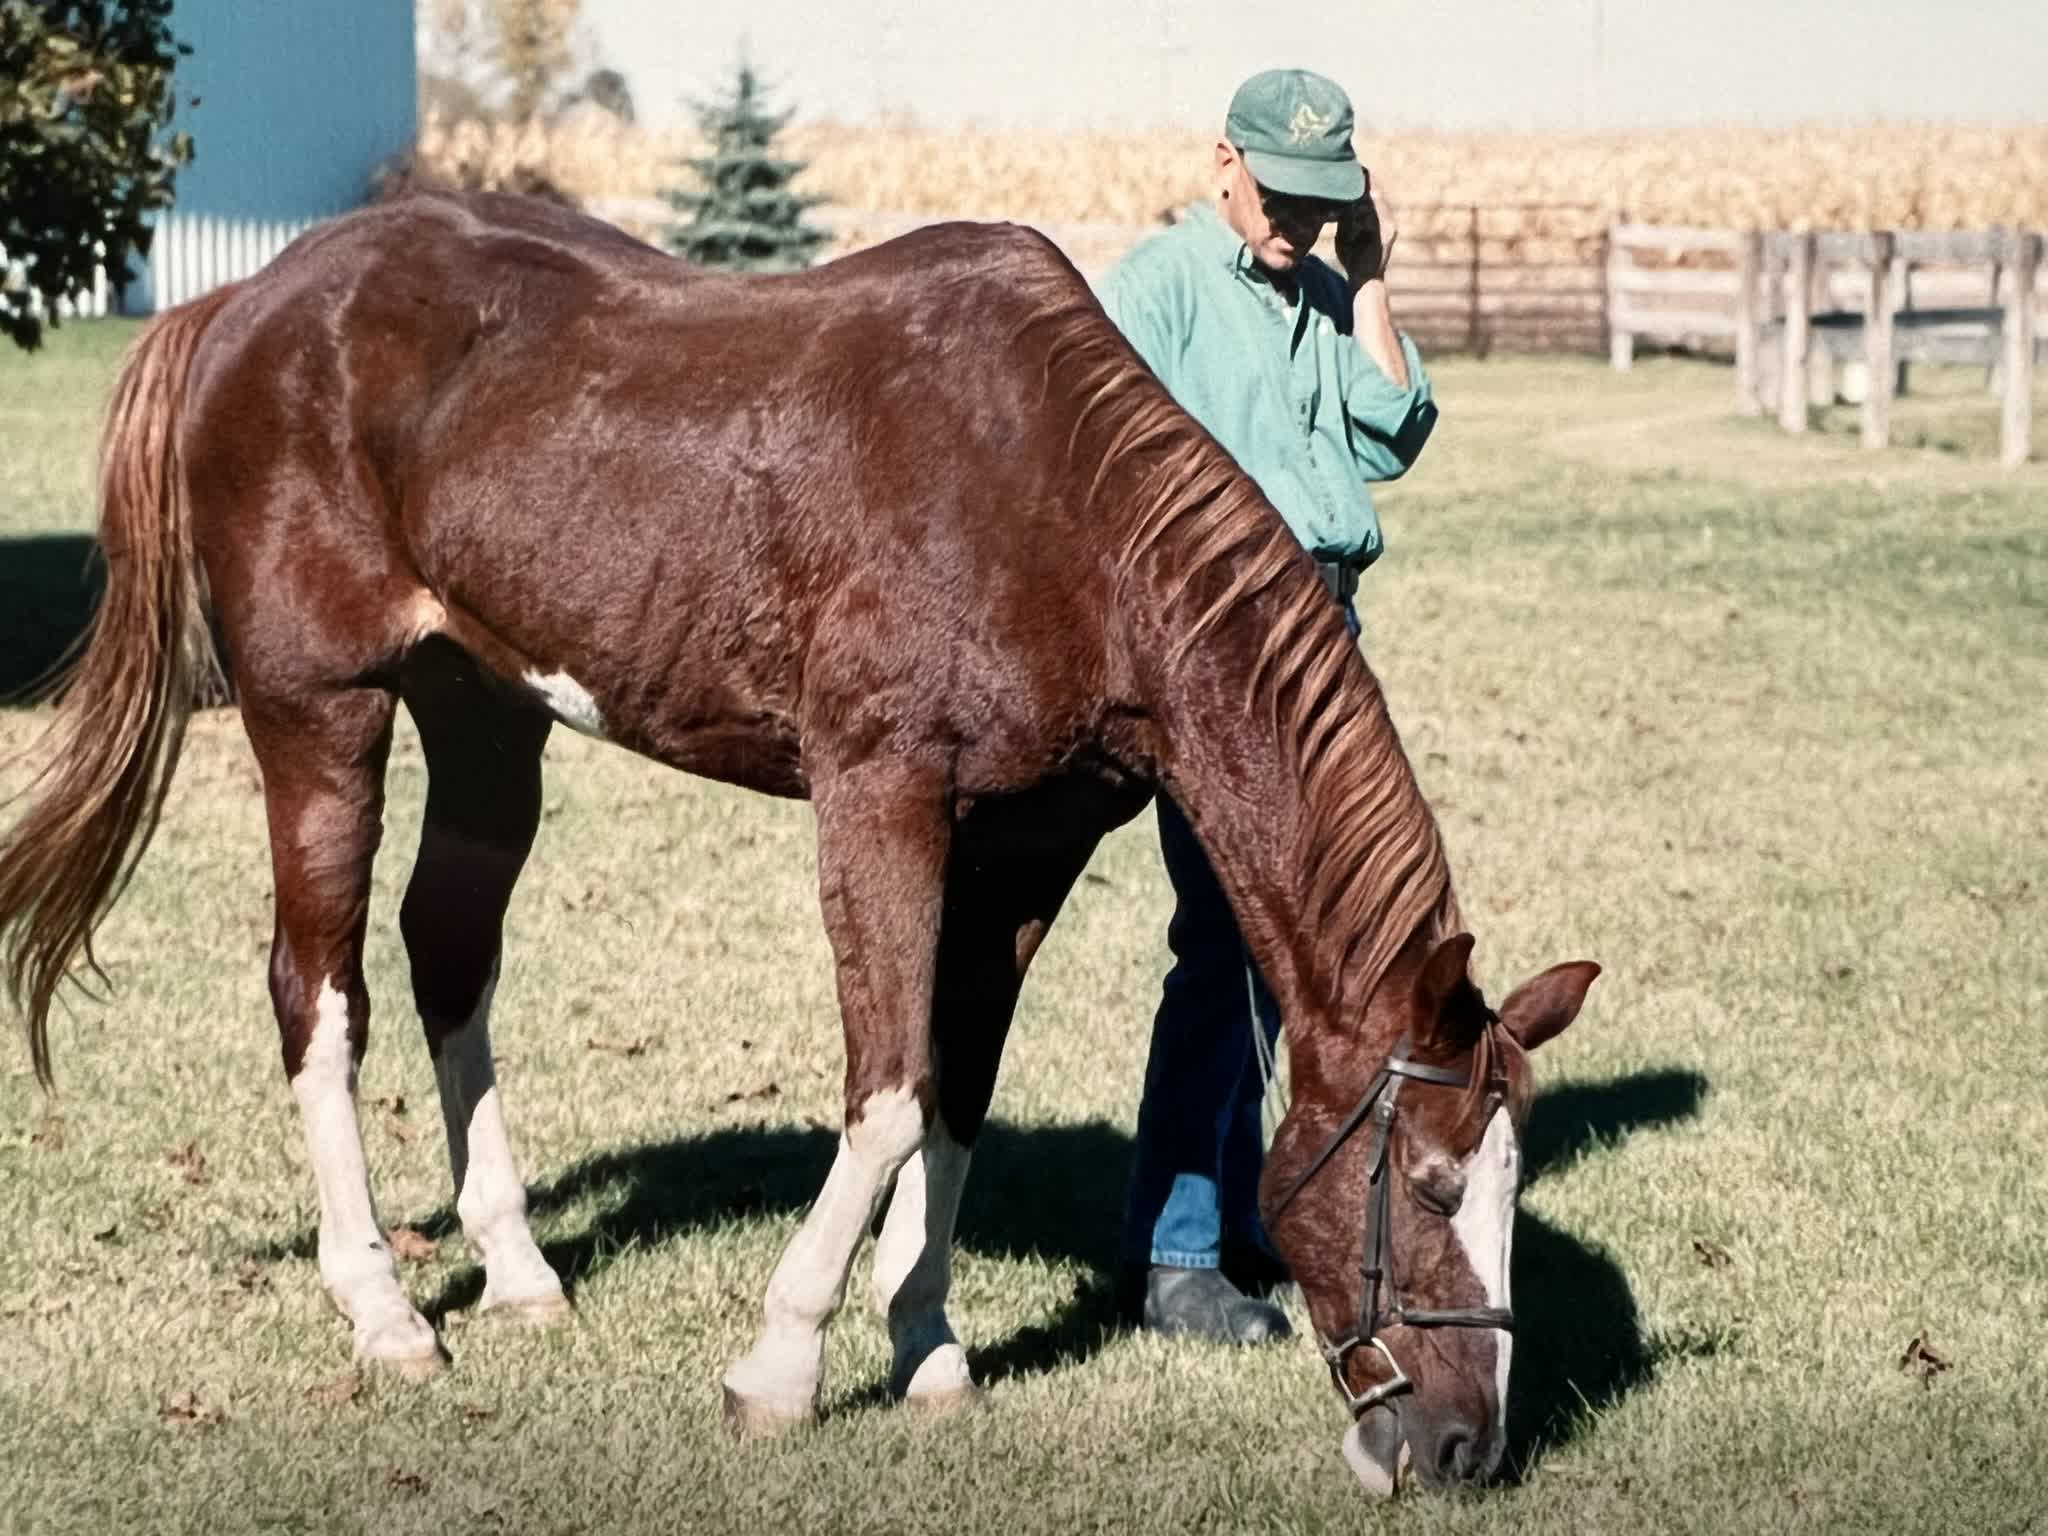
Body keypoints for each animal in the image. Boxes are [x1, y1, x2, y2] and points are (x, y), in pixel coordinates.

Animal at [0, 192, 1597, 1507]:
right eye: (1433, 1184)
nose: (1464, 1446)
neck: (1056, 511)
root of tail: (250, 302)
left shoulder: (1028, 850)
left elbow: (953, 1093)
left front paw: (930, 1347)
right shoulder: (877, 797)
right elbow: (885, 1096)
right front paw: (782, 1364)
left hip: (485, 718)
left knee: (447, 957)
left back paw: (515, 1273)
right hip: (317, 712)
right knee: (318, 993)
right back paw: (387, 1314)